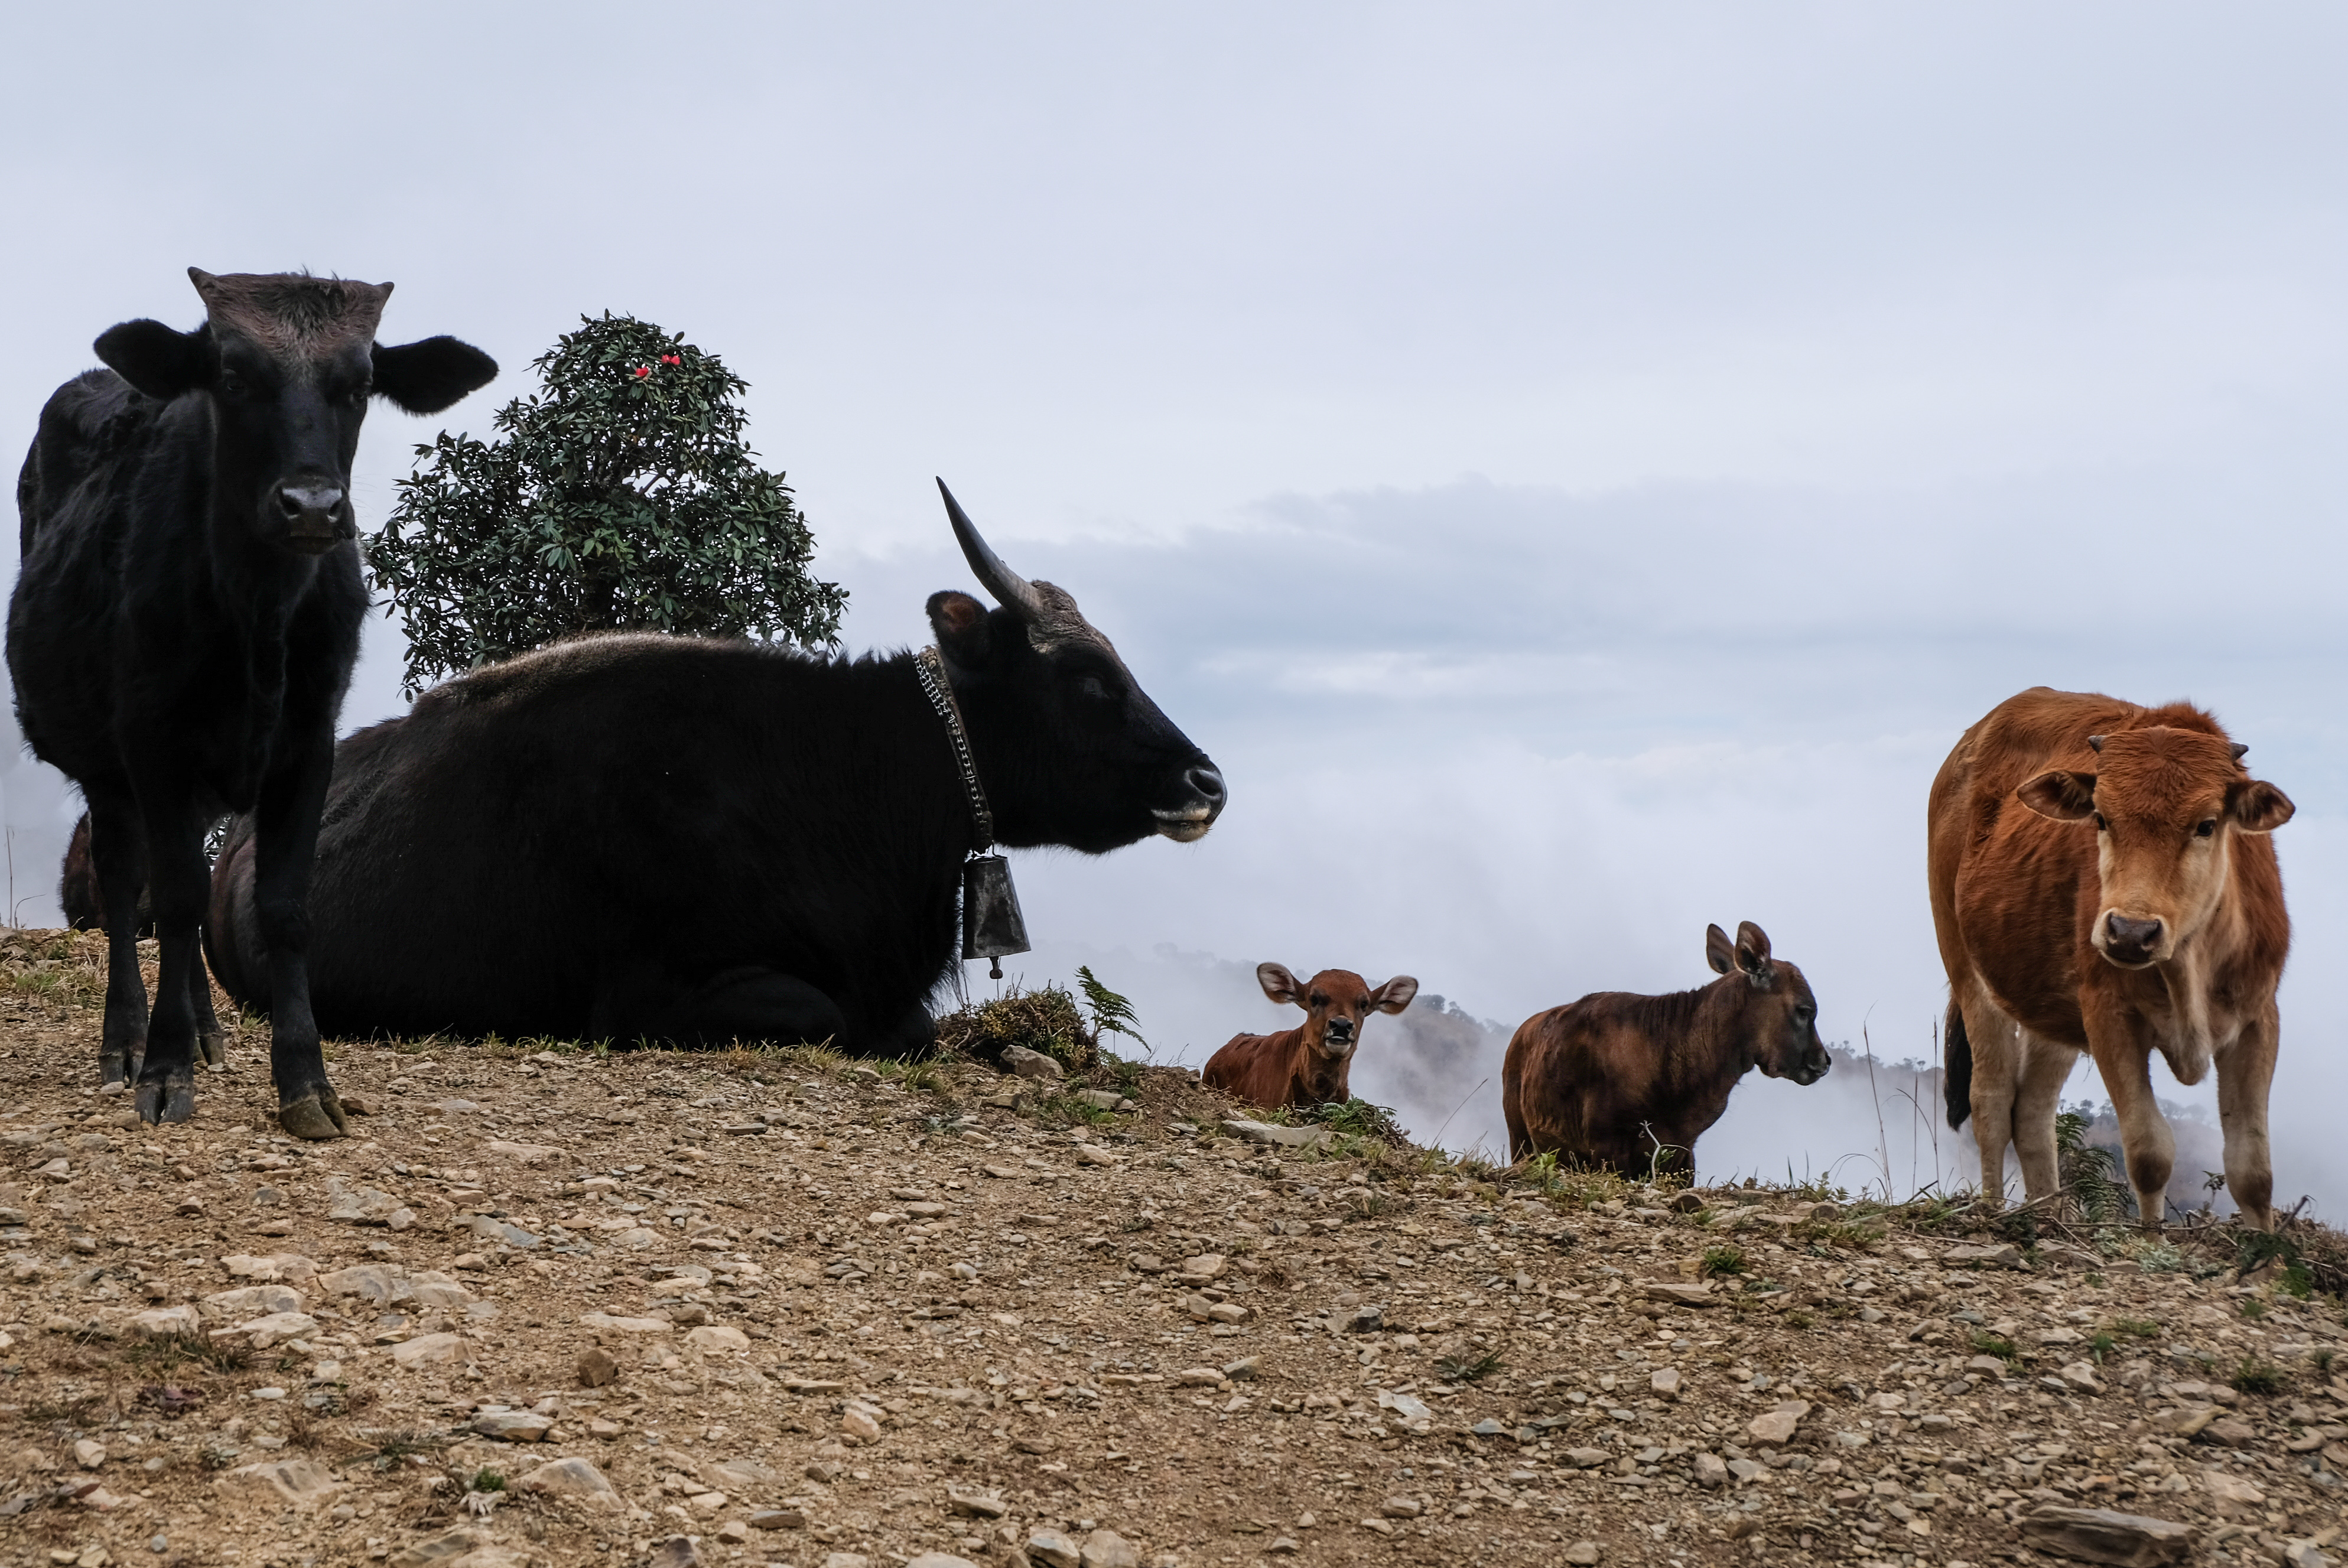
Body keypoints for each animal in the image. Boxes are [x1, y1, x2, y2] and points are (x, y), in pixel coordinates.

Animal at [1929, 688, 2292, 1229]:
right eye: (2102, 818)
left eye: (2207, 824)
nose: (2131, 932)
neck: (2187, 964)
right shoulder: (2109, 1015)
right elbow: (2149, 1153)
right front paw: (2152, 1240)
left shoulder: (2258, 1019)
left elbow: (2253, 1169)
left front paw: (2264, 1251)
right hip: (1967, 969)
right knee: (1990, 1100)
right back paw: (1993, 1212)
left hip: (2050, 1014)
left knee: (2031, 1112)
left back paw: (2048, 1216)